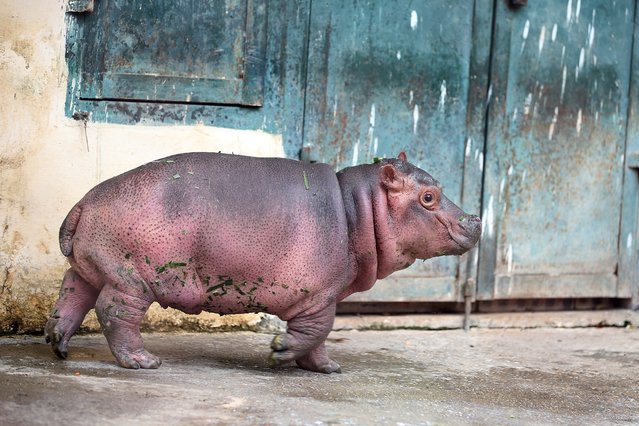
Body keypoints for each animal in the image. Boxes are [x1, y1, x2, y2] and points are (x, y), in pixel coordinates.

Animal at [46, 151, 480, 372]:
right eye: (428, 197)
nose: (476, 219)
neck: (360, 208)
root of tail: (83, 202)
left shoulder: (322, 296)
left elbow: (320, 339)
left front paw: (327, 368)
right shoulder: (319, 297)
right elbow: (317, 331)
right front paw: (281, 351)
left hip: (91, 268)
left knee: (71, 296)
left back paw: (58, 346)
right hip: (134, 276)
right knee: (114, 312)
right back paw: (143, 362)